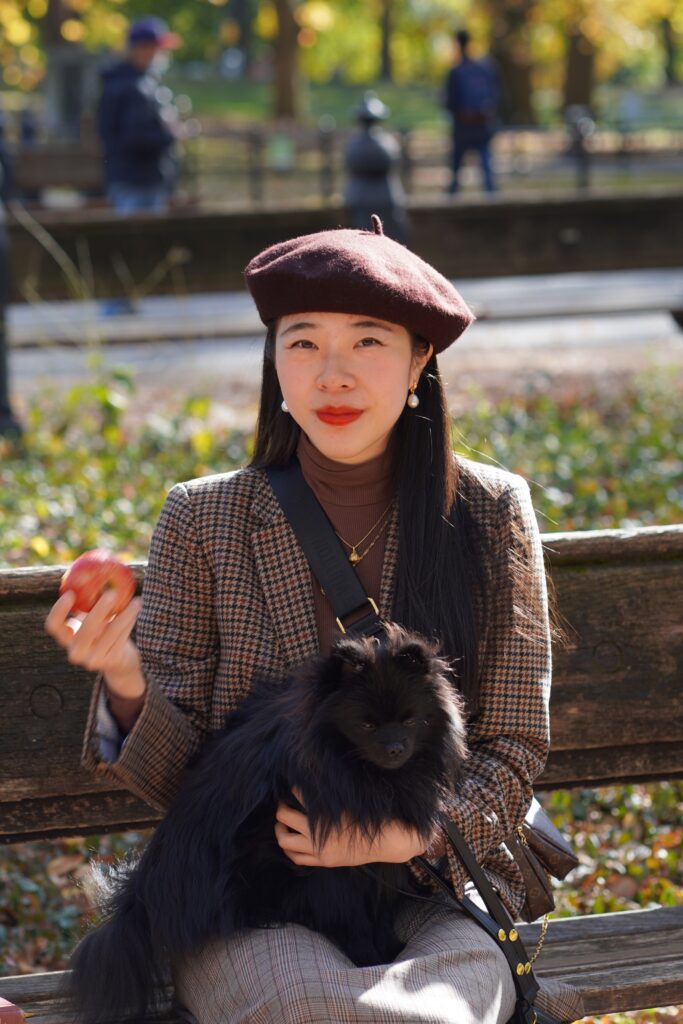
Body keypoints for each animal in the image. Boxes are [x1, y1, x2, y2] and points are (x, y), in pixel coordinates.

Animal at [63, 618, 466, 1019]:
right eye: (366, 725)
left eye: (410, 720)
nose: (395, 748)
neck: (363, 774)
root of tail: (143, 895)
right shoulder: (329, 865)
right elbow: (352, 913)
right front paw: (370, 956)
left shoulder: (377, 856)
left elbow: (380, 905)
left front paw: (390, 947)